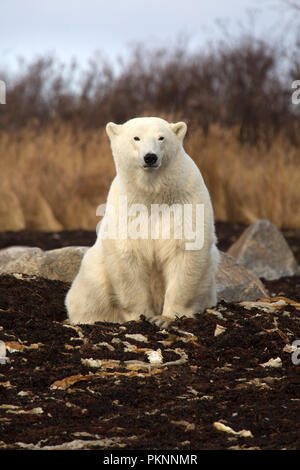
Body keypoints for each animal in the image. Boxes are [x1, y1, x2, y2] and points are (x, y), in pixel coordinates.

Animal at [65, 116, 220, 326]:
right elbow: (128, 257)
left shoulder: (186, 200)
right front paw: (141, 316)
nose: (150, 157)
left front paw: (165, 318)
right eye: (136, 138)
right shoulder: (126, 206)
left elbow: (185, 250)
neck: (152, 194)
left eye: (161, 137)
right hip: (94, 270)